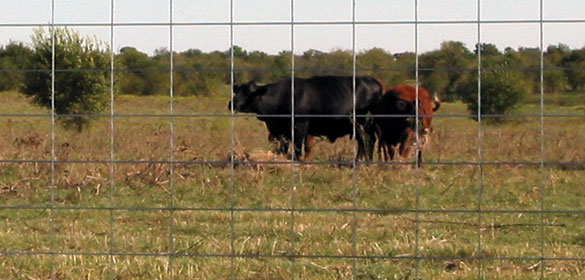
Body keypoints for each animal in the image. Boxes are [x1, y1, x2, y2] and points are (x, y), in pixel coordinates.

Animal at [227, 75, 384, 161]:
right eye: (237, 91)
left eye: (249, 93)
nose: (232, 103)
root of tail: (373, 80)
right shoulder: (279, 131)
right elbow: (284, 148)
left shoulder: (300, 125)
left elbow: (297, 147)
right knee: (367, 141)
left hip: (362, 124)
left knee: (366, 141)